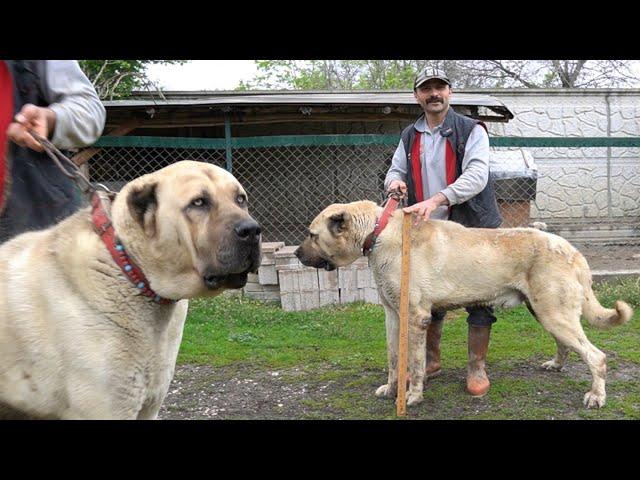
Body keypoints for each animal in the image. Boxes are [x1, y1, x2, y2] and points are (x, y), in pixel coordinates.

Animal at [296, 200, 636, 408]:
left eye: (313, 234)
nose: (297, 254)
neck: (378, 234)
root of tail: (574, 251)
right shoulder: (393, 316)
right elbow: (394, 359)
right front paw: (392, 389)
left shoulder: (415, 317)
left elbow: (415, 363)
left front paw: (413, 396)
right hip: (545, 312)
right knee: (566, 344)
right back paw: (557, 365)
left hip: (554, 314)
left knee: (596, 356)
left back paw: (596, 396)